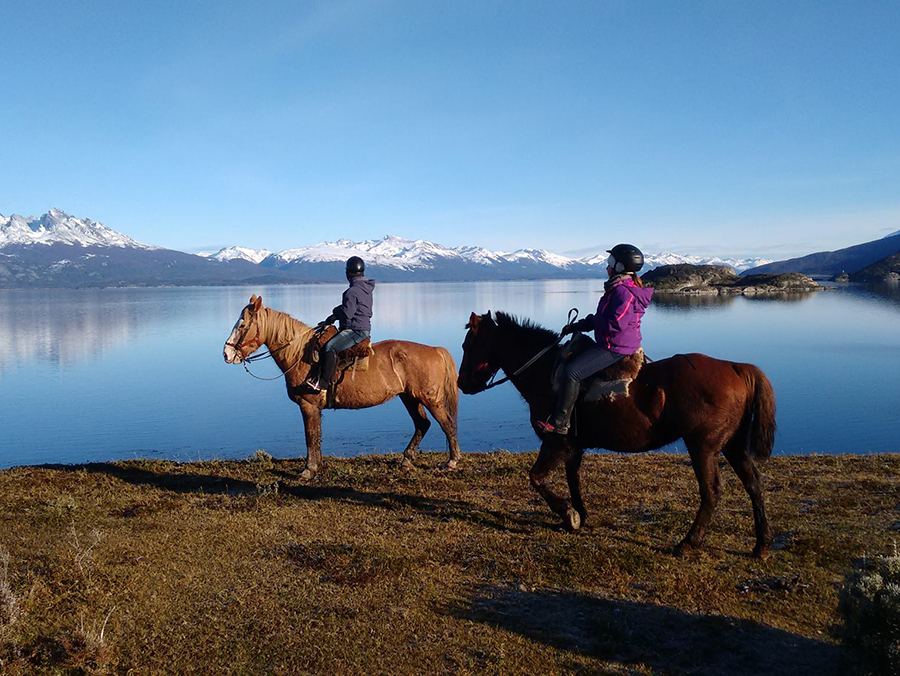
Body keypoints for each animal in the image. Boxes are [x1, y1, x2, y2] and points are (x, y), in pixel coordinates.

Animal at [224, 296, 460, 480]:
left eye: (242, 326)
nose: (226, 354)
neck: (301, 355)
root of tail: (435, 350)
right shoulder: (314, 408)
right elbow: (316, 435)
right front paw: (316, 466)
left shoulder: (308, 405)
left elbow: (310, 435)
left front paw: (308, 470)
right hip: (409, 397)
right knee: (422, 424)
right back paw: (406, 459)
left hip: (430, 399)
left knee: (447, 424)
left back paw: (451, 461)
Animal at [460, 308, 776, 556]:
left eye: (467, 345)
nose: (462, 384)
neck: (546, 374)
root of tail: (737, 368)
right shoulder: (573, 447)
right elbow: (573, 479)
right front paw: (579, 516)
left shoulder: (555, 441)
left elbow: (537, 478)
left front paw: (568, 515)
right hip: (732, 444)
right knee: (753, 483)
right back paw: (761, 545)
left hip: (703, 447)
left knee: (711, 492)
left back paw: (688, 543)